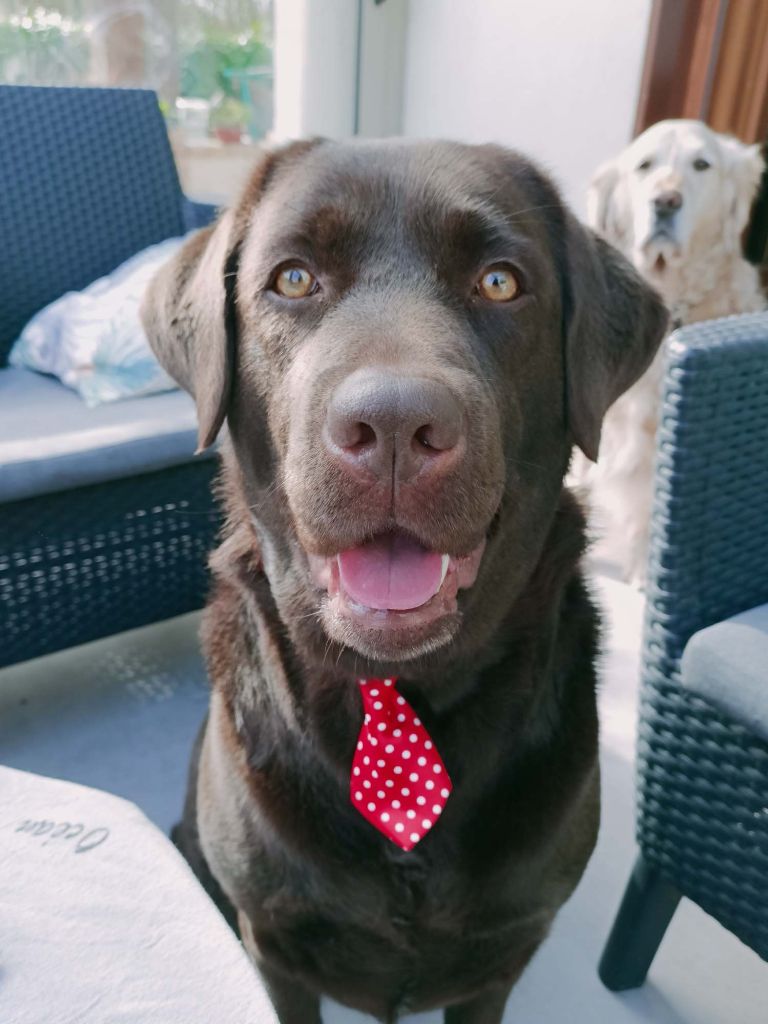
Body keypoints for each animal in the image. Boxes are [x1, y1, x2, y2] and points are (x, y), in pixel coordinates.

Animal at [143, 138, 667, 1024]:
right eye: (293, 279)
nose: (392, 426)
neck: (401, 696)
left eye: (500, 281)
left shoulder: (500, 960)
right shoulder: (274, 942)